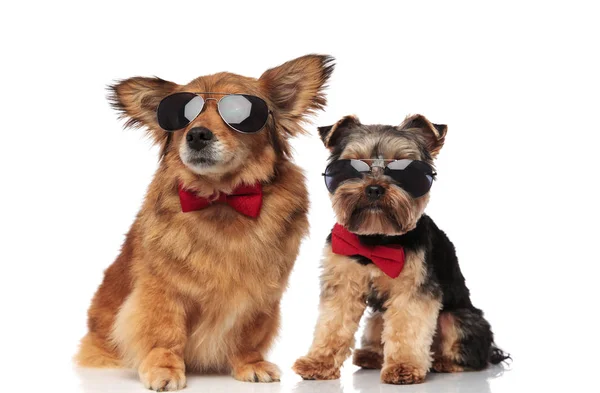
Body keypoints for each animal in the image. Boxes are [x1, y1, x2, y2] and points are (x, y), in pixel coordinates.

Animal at [75, 54, 332, 388]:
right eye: (181, 116)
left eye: (239, 112)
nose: (196, 134)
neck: (222, 198)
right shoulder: (162, 291)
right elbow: (165, 332)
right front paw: (164, 369)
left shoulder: (260, 295)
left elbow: (248, 334)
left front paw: (250, 363)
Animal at [292, 115, 508, 384]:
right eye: (353, 166)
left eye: (404, 169)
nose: (374, 188)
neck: (377, 240)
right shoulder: (342, 284)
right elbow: (332, 324)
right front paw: (318, 362)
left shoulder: (414, 289)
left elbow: (407, 326)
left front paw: (403, 367)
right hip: (379, 315)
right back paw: (372, 355)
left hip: (457, 318)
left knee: (470, 353)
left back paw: (442, 361)